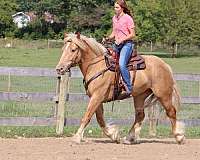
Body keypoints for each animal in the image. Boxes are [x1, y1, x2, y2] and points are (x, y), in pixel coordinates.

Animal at [55, 33, 185, 144]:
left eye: (73, 49)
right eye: (63, 50)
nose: (59, 68)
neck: (96, 66)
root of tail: (165, 65)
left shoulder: (97, 97)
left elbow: (87, 116)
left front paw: (76, 137)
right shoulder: (96, 98)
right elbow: (100, 119)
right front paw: (114, 135)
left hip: (163, 95)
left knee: (171, 112)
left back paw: (179, 137)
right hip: (140, 95)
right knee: (140, 115)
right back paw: (129, 138)